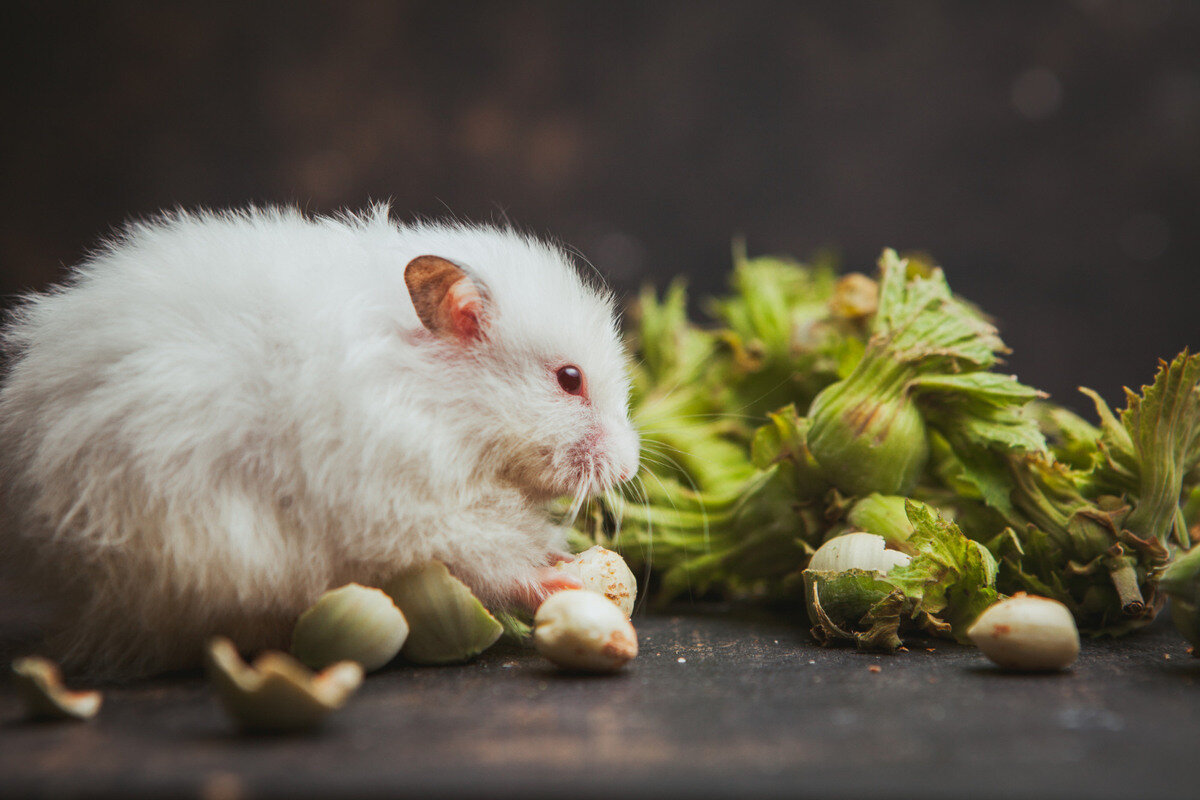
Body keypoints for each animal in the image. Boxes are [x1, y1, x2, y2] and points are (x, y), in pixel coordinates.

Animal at [0, 205, 643, 676]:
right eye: (569, 379)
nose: (630, 467)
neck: (443, 405)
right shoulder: (410, 509)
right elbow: (490, 561)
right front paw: (562, 579)